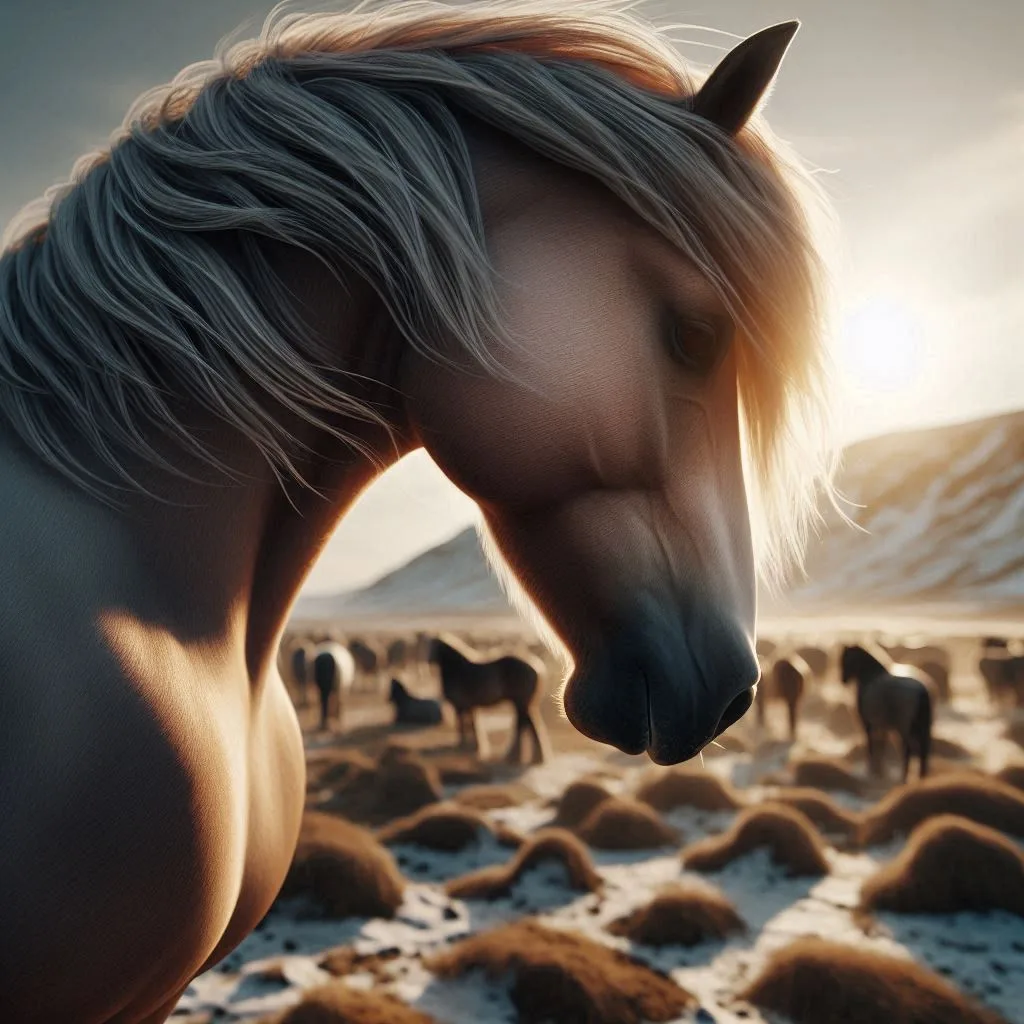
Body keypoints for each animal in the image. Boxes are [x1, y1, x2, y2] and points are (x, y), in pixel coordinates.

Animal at [427, 634, 551, 763]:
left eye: (433, 646)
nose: (428, 661)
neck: (456, 669)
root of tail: (537, 668)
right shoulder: (470, 707)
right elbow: (473, 726)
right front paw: (476, 748)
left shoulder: (459, 707)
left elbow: (462, 727)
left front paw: (463, 746)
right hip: (524, 705)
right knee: (529, 725)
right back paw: (534, 757)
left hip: (520, 704)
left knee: (523, 726)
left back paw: (514, 756)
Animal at [840, 645, 933, 783]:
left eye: (846, 660)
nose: (843, 680)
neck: (870, 678)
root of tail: (922, 692)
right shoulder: (883, 727)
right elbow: (881, 747)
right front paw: (879, 773)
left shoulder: (868, 725)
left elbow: (871, 746)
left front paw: (872, 772)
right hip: (923, 729)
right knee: (923, 752)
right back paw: (922, 778)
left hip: (905, 729)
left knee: (908, 750)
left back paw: (903, 779)